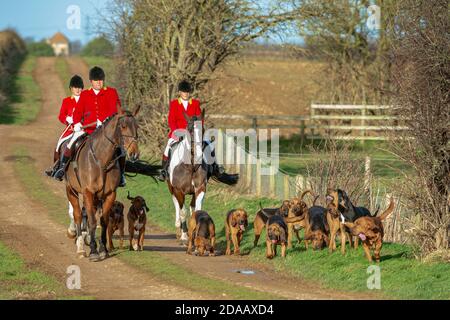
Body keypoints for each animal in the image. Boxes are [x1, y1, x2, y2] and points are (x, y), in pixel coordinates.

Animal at [64, 106, 140, 262]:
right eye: (123, 126)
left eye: (137, 127)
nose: (134, 154)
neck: (102, 161)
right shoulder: (88, 192)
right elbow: (93, 221)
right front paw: (93, 251)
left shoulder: (110, 195)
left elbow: (103, 221)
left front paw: (103, 249)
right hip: (71, 190)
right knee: (78, 214)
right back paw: (80, 246)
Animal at [167, 111, 239, 241]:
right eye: (190, 130)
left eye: (203, 129)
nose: (199, 154)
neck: (190, 166)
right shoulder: (178, 190)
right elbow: (182, 211)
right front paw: (184, 235)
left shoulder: (200, 188)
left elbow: (198, 210)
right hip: (171, 188)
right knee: (176, 204)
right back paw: (178, 226)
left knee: (192, 206)